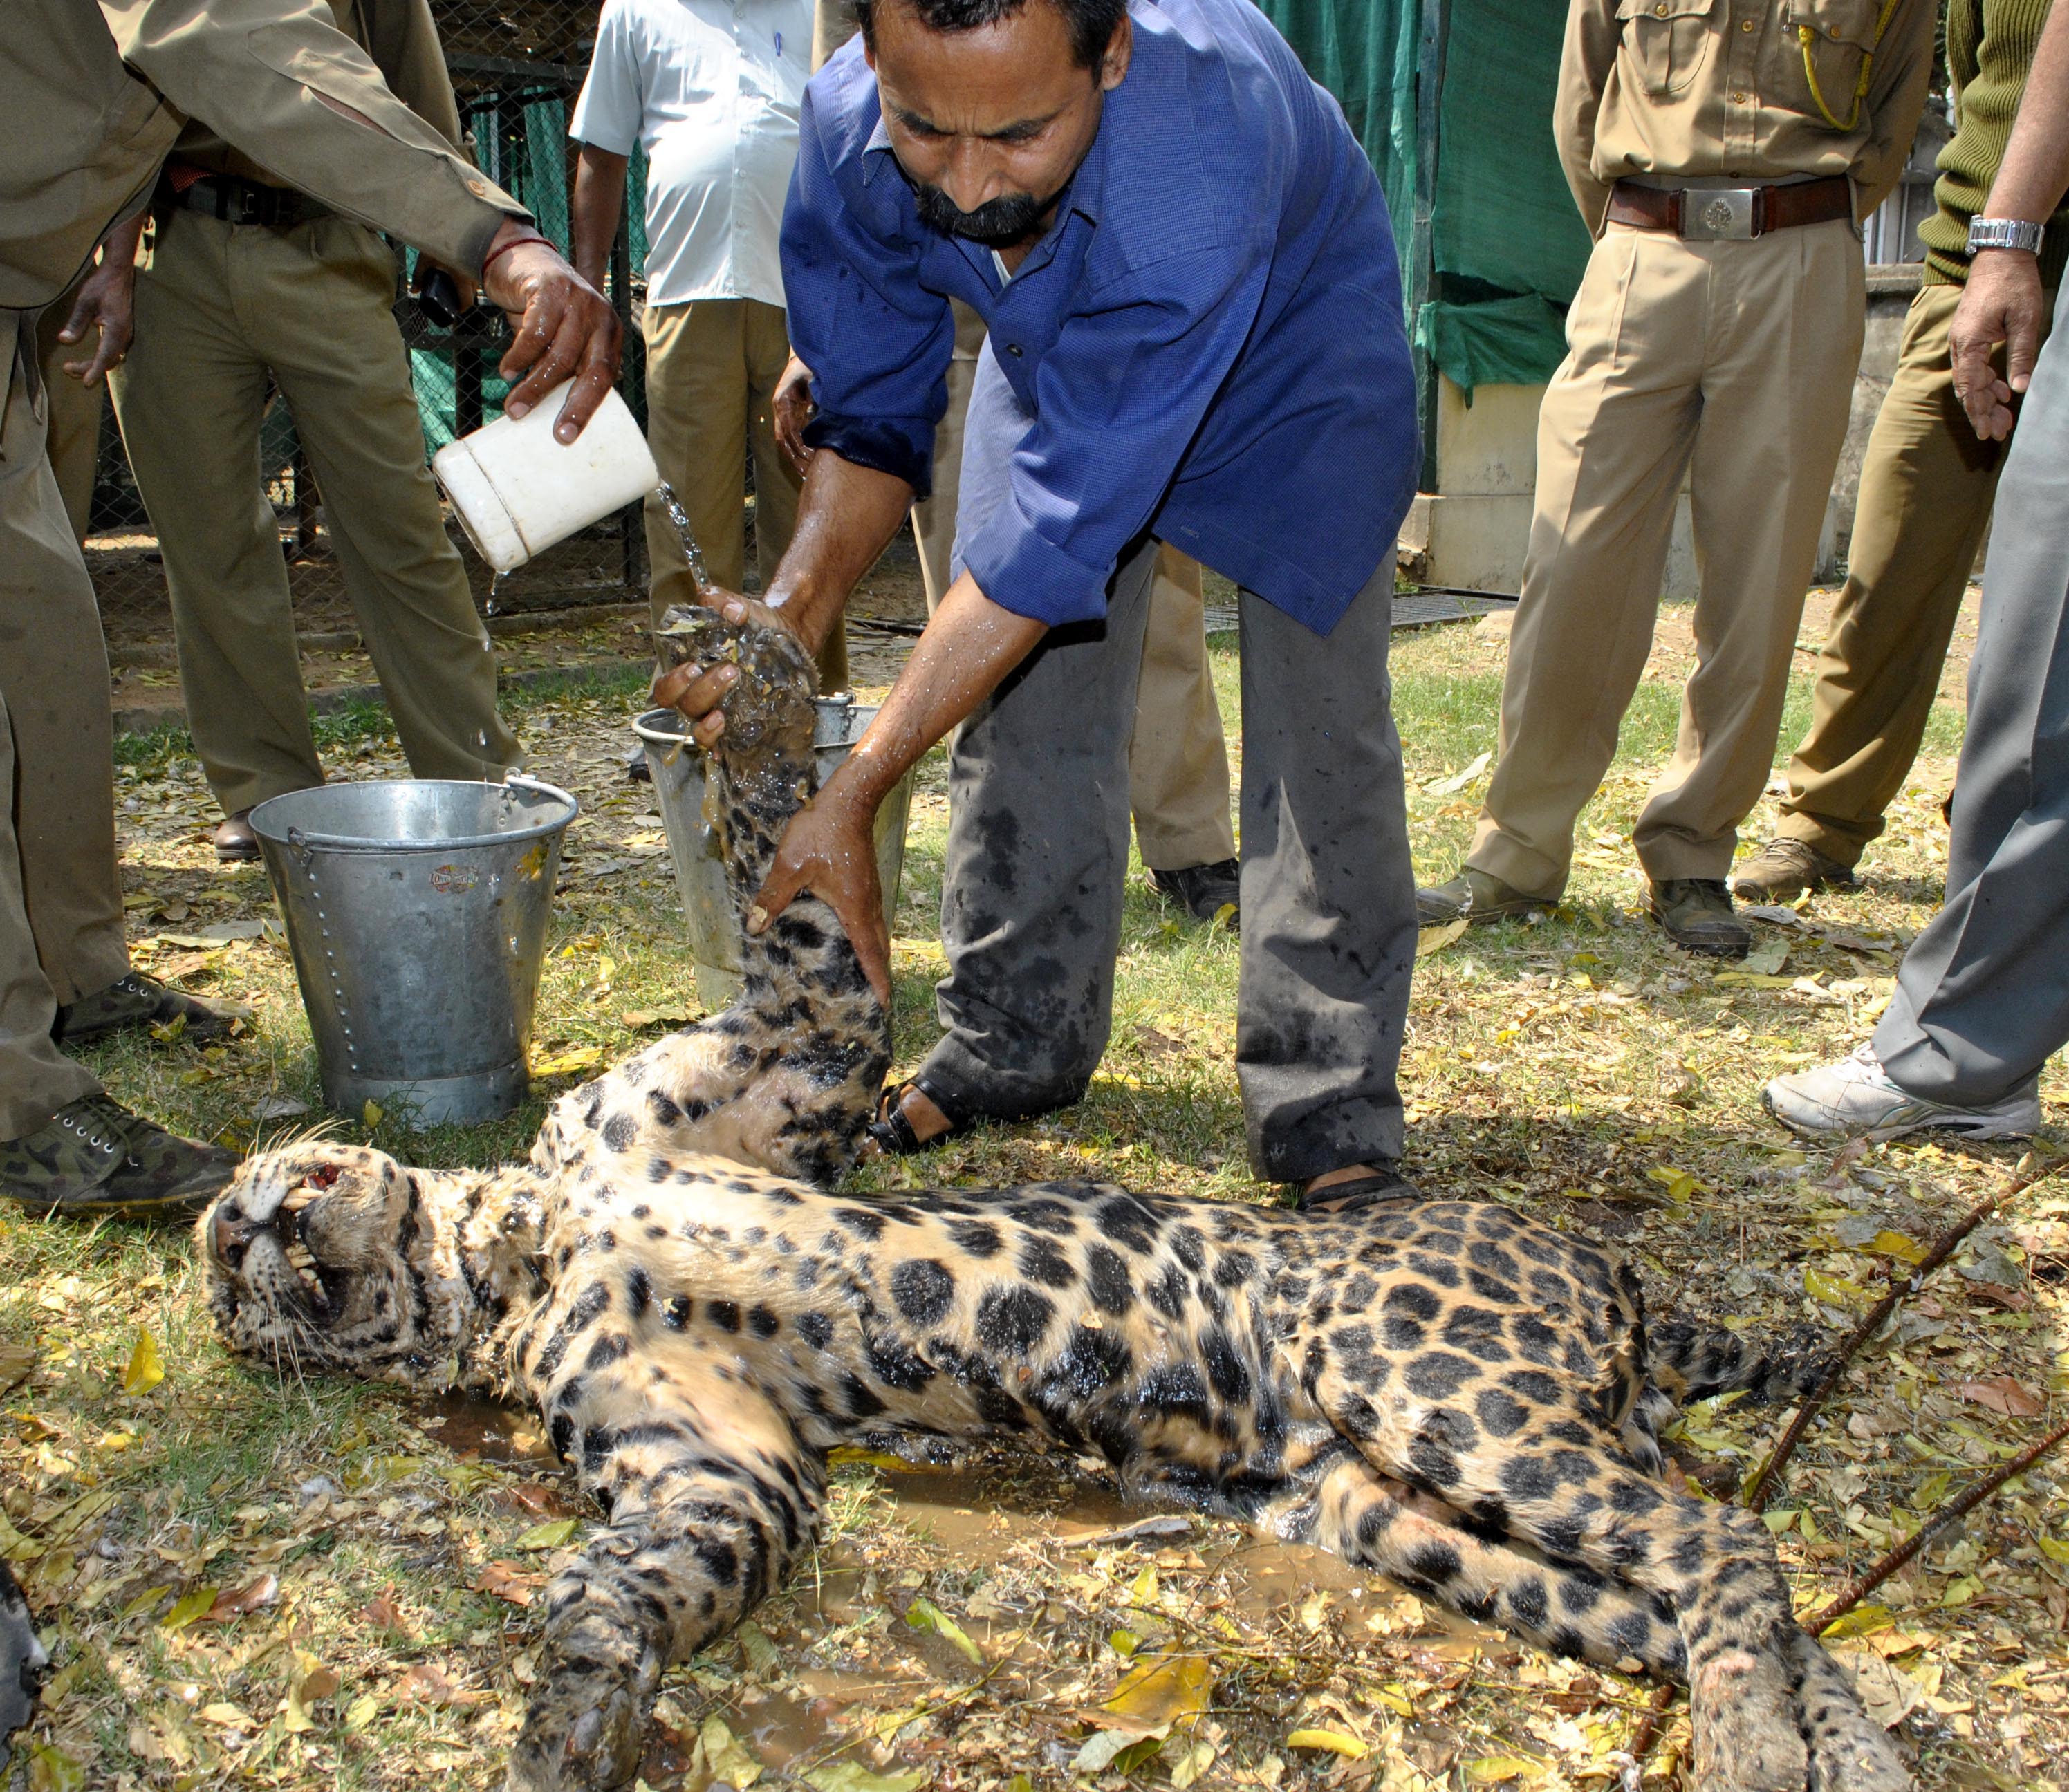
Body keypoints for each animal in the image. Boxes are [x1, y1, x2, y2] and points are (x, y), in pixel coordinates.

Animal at [195, 606, 1911, 1792]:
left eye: (236, 1230)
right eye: (234, 1282)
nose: (252, 1237)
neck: (522, 1248)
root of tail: (1599, 1272)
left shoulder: (795, 1054)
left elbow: (792, 889)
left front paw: (747, 679)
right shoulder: (712, 1465)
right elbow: (640, 1580)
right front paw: (574, 1703)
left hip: (1428, 1385)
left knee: (1725, 1551)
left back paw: (1760, 1752)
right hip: (1401, 1503)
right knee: (1708, 1585)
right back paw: (1835, 1750)